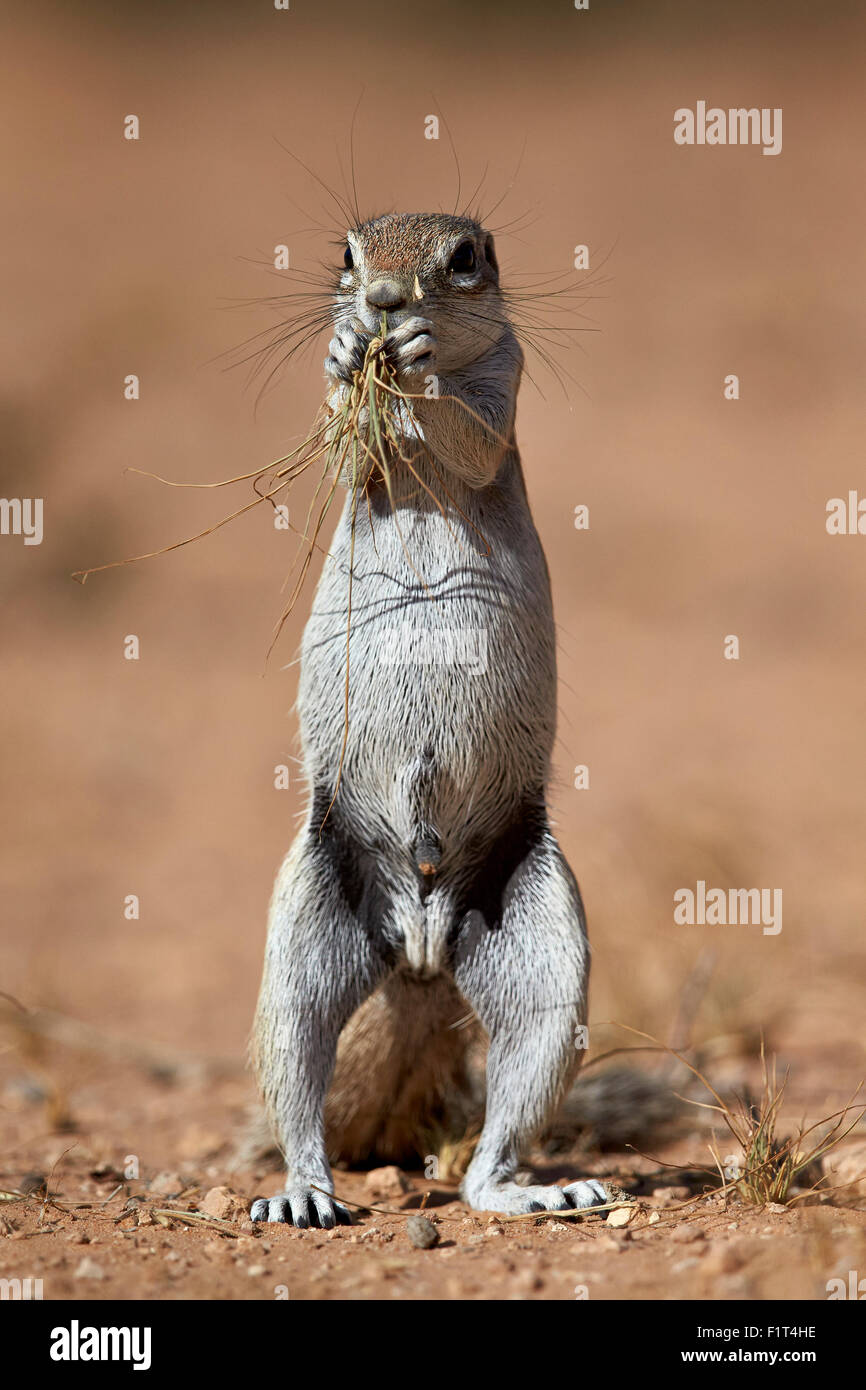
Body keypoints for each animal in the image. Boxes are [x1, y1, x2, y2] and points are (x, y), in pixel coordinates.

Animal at [249, 211, 614, 1227]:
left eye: (465, 259)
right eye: (346, 255)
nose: (383, 302)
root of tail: (418, 951)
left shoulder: (505, 382)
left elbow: (474, 435)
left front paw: (414, 362)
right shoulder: (358, 452)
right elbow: (344, 439)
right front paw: (349, 358)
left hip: (543, 948)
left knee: (512, 1100)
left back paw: (531, 1191)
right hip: (304, 929)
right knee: (296, 1059)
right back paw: (303, 1192)